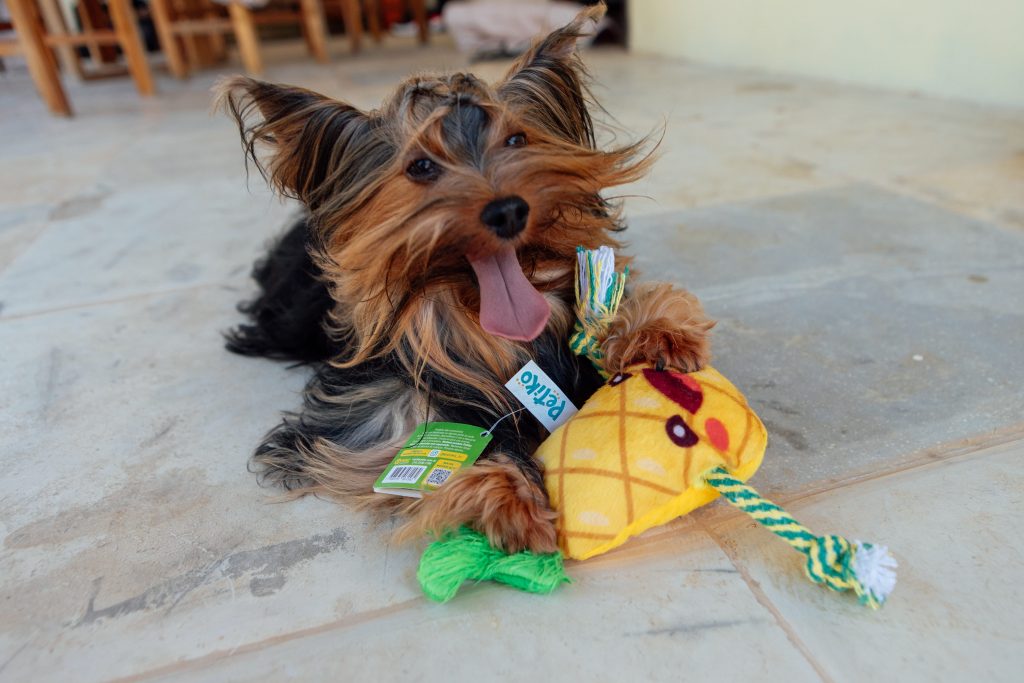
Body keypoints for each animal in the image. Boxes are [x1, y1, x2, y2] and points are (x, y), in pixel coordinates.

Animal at [216, 3, 712, 557]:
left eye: (517, 140)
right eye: (420, 167)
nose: (508, 210)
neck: (476, 322)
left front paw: (655, 331)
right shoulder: (372, 409)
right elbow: (421, 440)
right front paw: (510, 498)